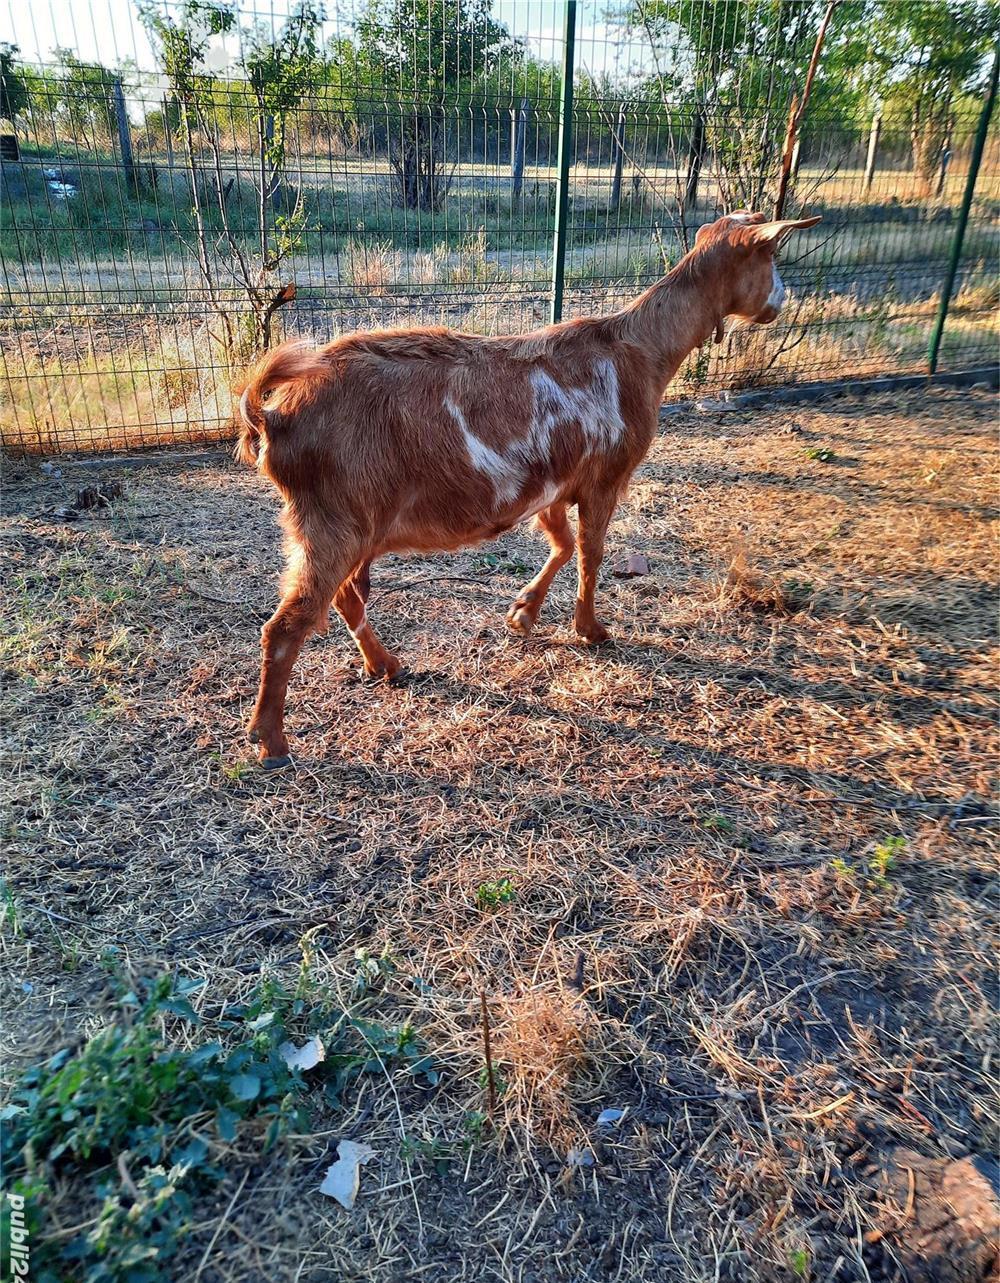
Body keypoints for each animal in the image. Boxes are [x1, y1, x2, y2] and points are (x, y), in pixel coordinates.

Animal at [235, 211, 820, 766]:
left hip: (348, 525)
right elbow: (590, 552)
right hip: (334, 522)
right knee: (288, 625)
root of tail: (273, 419)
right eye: (770, 253)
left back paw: (386, 666)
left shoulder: (551, 487)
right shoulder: (605, 477)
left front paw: (523, 614)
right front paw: (591, 629)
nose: (782, 300)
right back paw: (272, 742)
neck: (638, 350)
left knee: (343, 598)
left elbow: (561, 543)